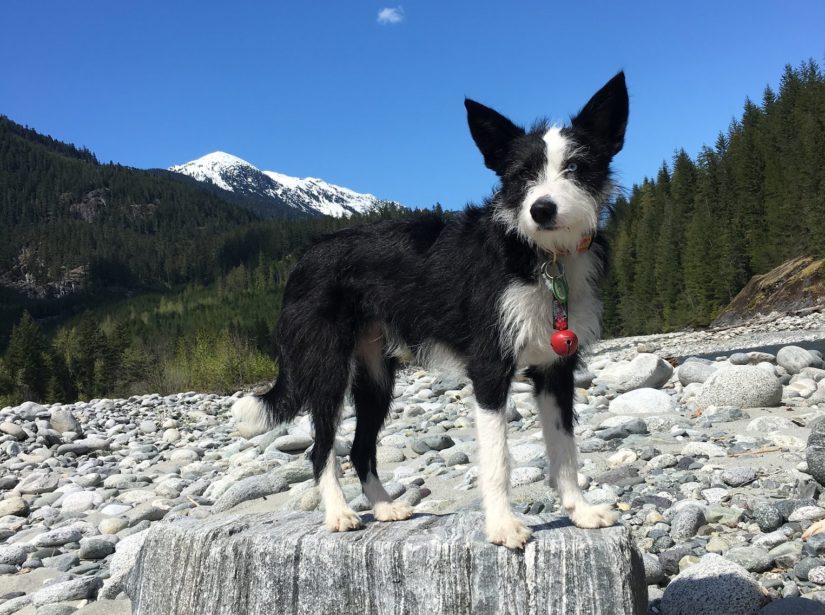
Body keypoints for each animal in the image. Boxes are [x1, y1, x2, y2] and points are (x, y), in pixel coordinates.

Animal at [233, 71, 632, 548]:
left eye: (575, 168)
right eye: (521, 176)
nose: (542, 209)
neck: (537, 252)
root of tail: (304, 258)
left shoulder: (557, 369)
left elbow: (566, 449)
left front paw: (580, 512)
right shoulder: (489, 368)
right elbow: (497, 459)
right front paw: (502, 525)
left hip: (376, 377)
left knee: (360, 447)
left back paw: (384, 507)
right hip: (326, 368)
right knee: (321, 447)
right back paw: (338, 513)